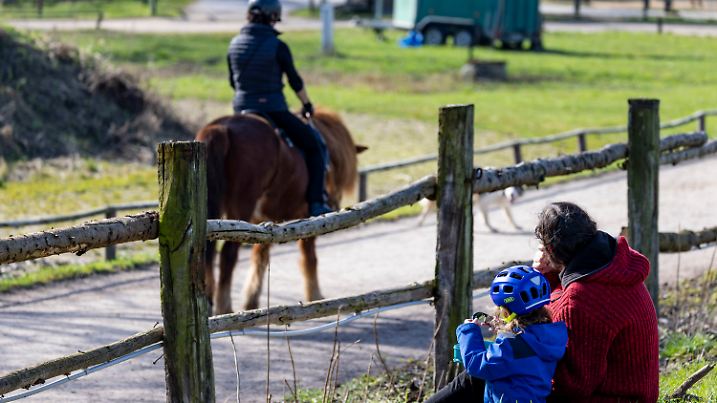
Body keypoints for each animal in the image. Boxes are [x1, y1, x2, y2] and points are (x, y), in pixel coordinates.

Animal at [196, 108, 366, 314]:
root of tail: (223, 128)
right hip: (240, 208)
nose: (335, 201)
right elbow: (309, 257)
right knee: (228, 254)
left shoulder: (264, 224)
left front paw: (251, 300)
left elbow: (260, 257)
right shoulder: (305, 217)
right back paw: (224, 306)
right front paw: (314, 294)